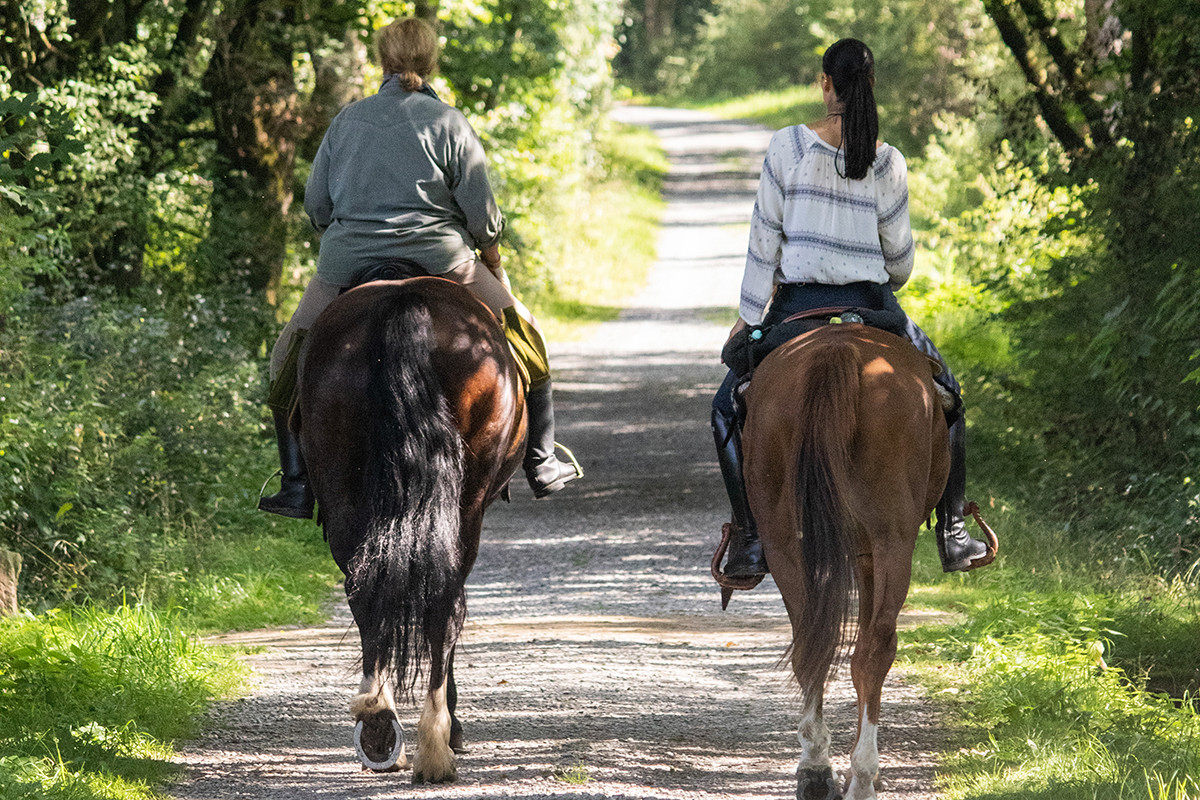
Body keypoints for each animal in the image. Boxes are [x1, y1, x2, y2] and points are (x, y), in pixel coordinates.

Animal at [292, 277, 523, 782]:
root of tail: (404, 297)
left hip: (340, 487)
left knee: (365, 592)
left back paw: (379, 724)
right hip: (468, 502)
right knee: (446, 603)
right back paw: (437, 742)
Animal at [739, 326, 955, 800]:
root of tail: (837, 346)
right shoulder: (873, 554)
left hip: (784, 543)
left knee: (809, 647)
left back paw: (815, 769)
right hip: (892, 540)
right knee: (876, 650)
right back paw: (862, 776)